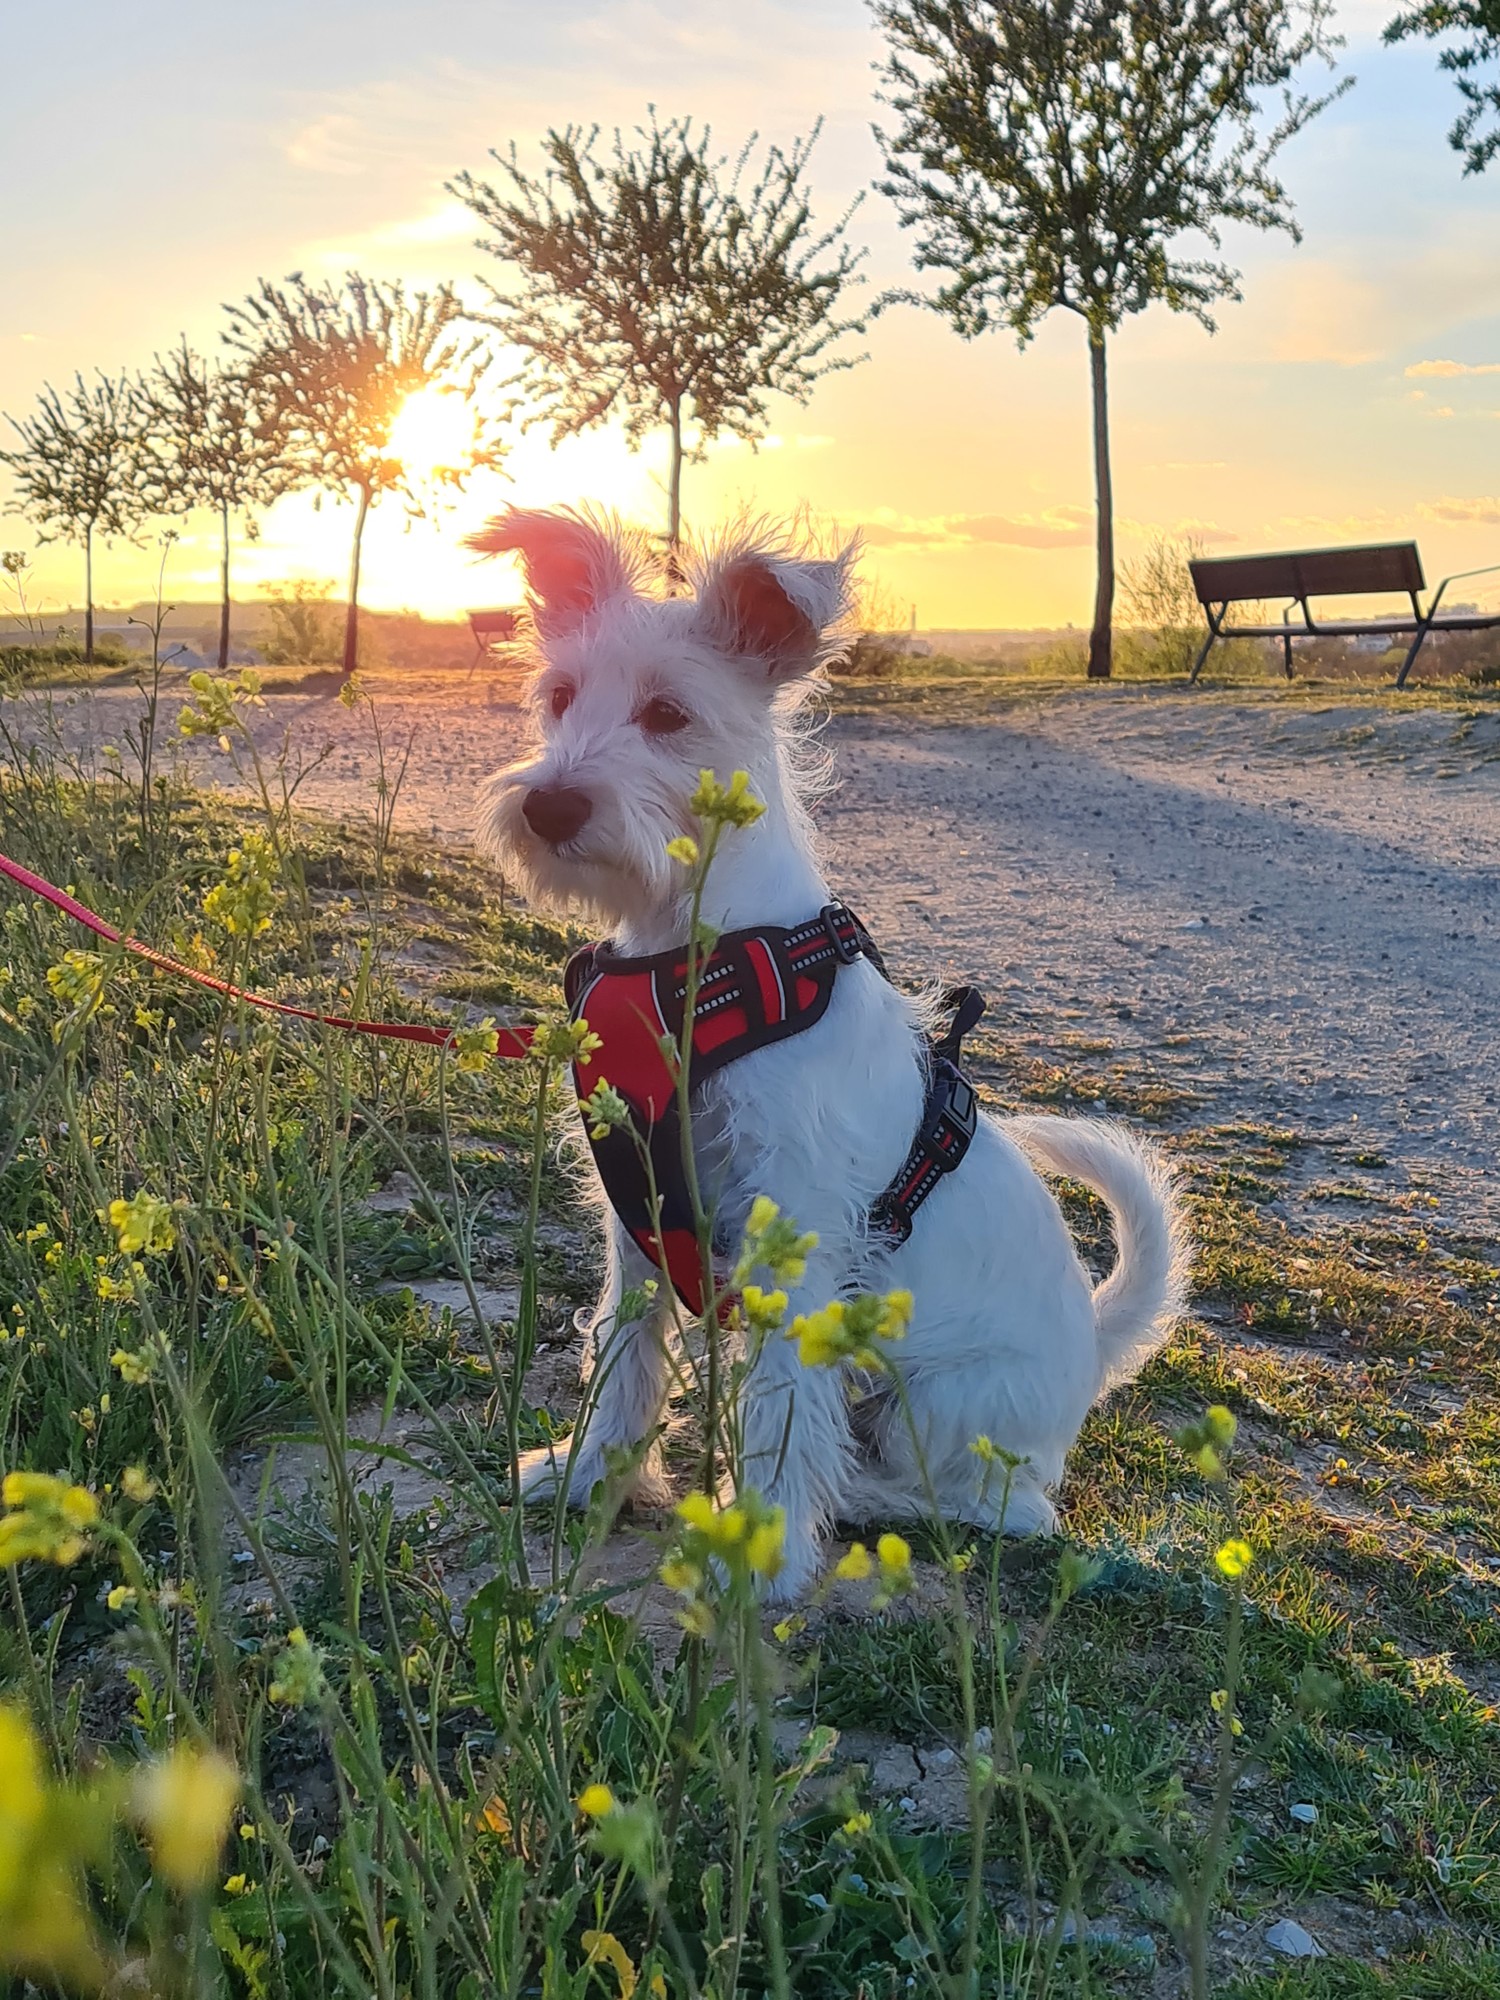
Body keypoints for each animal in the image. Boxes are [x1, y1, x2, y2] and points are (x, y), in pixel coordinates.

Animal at [476, 508, 1192, 1600]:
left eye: (670, 713)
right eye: (558, 698)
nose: (550, 806)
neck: (701, 962)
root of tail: (1094, 1345)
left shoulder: (795, 1237)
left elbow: (779, 1403)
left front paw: (758, 1554)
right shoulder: (642, 1218)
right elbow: (622, 1352)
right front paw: (591, 1474)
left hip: (940, 1404)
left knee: (1008, 1510)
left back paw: (871, 1495)